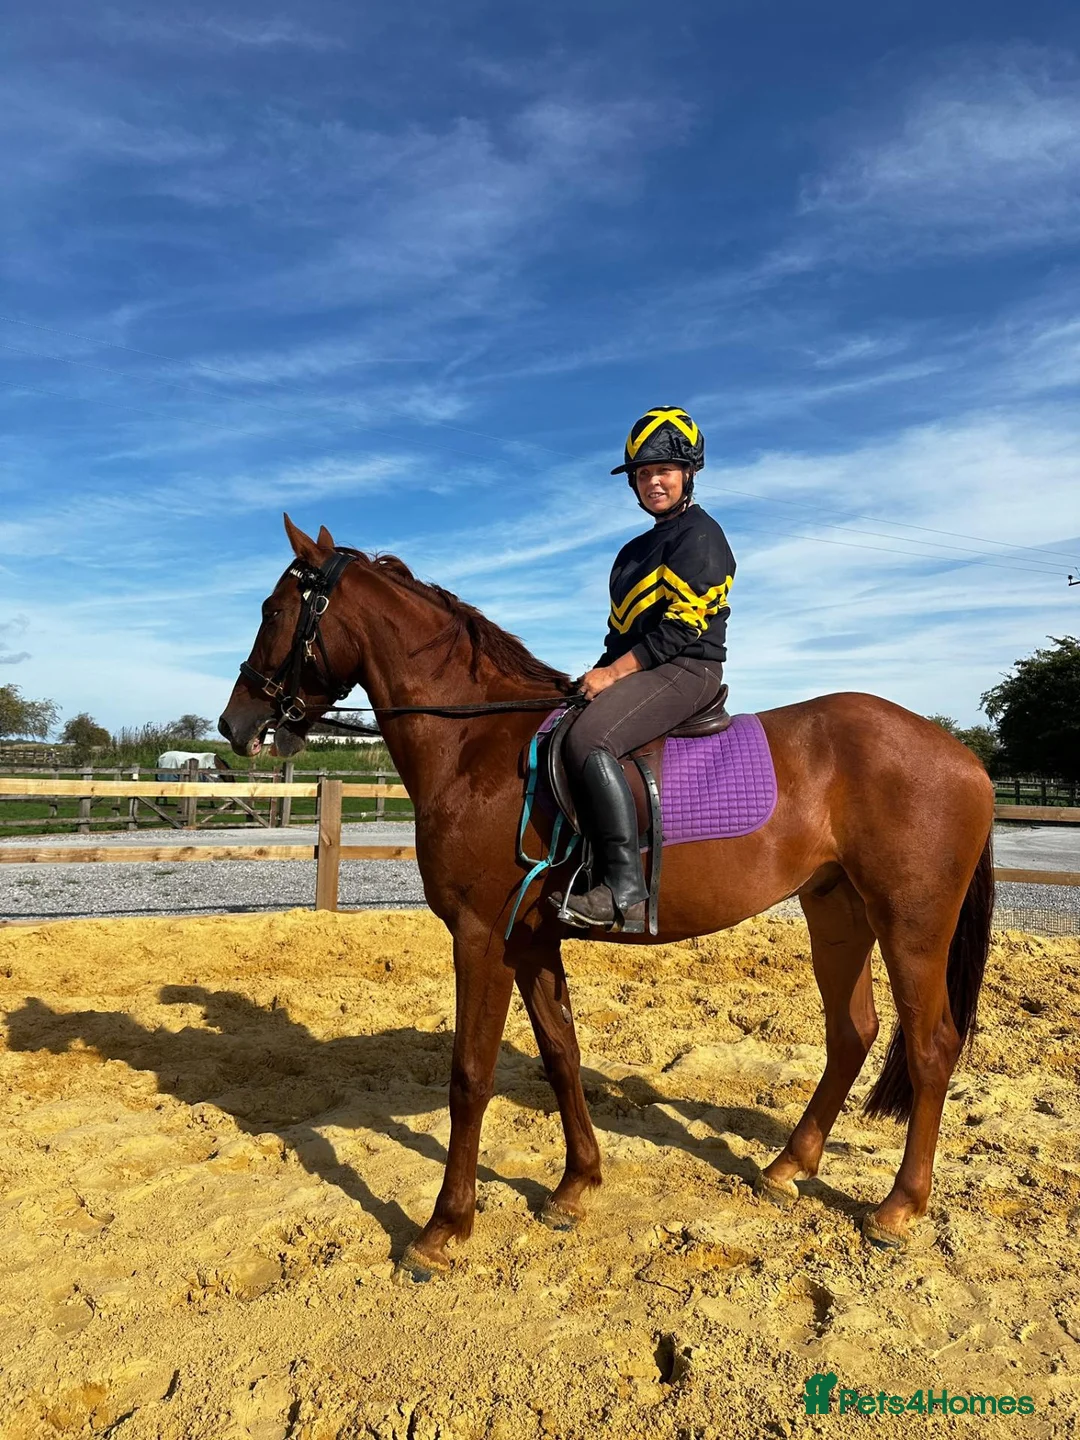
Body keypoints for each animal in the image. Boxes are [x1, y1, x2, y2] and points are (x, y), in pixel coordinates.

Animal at [219, 516, 995, 1280]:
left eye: (273, 610)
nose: (234, 725)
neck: (477, 744)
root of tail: (962, 757)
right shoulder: (530, 938)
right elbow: (562, 1054)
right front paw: (576, 1186)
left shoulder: (481, 934)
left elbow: (470, 1076)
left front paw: (443, 1230)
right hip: (837, 912)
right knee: (852, 1032)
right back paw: (786, 1168)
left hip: (911, 924)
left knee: (931, 1047)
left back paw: (898, 1208)